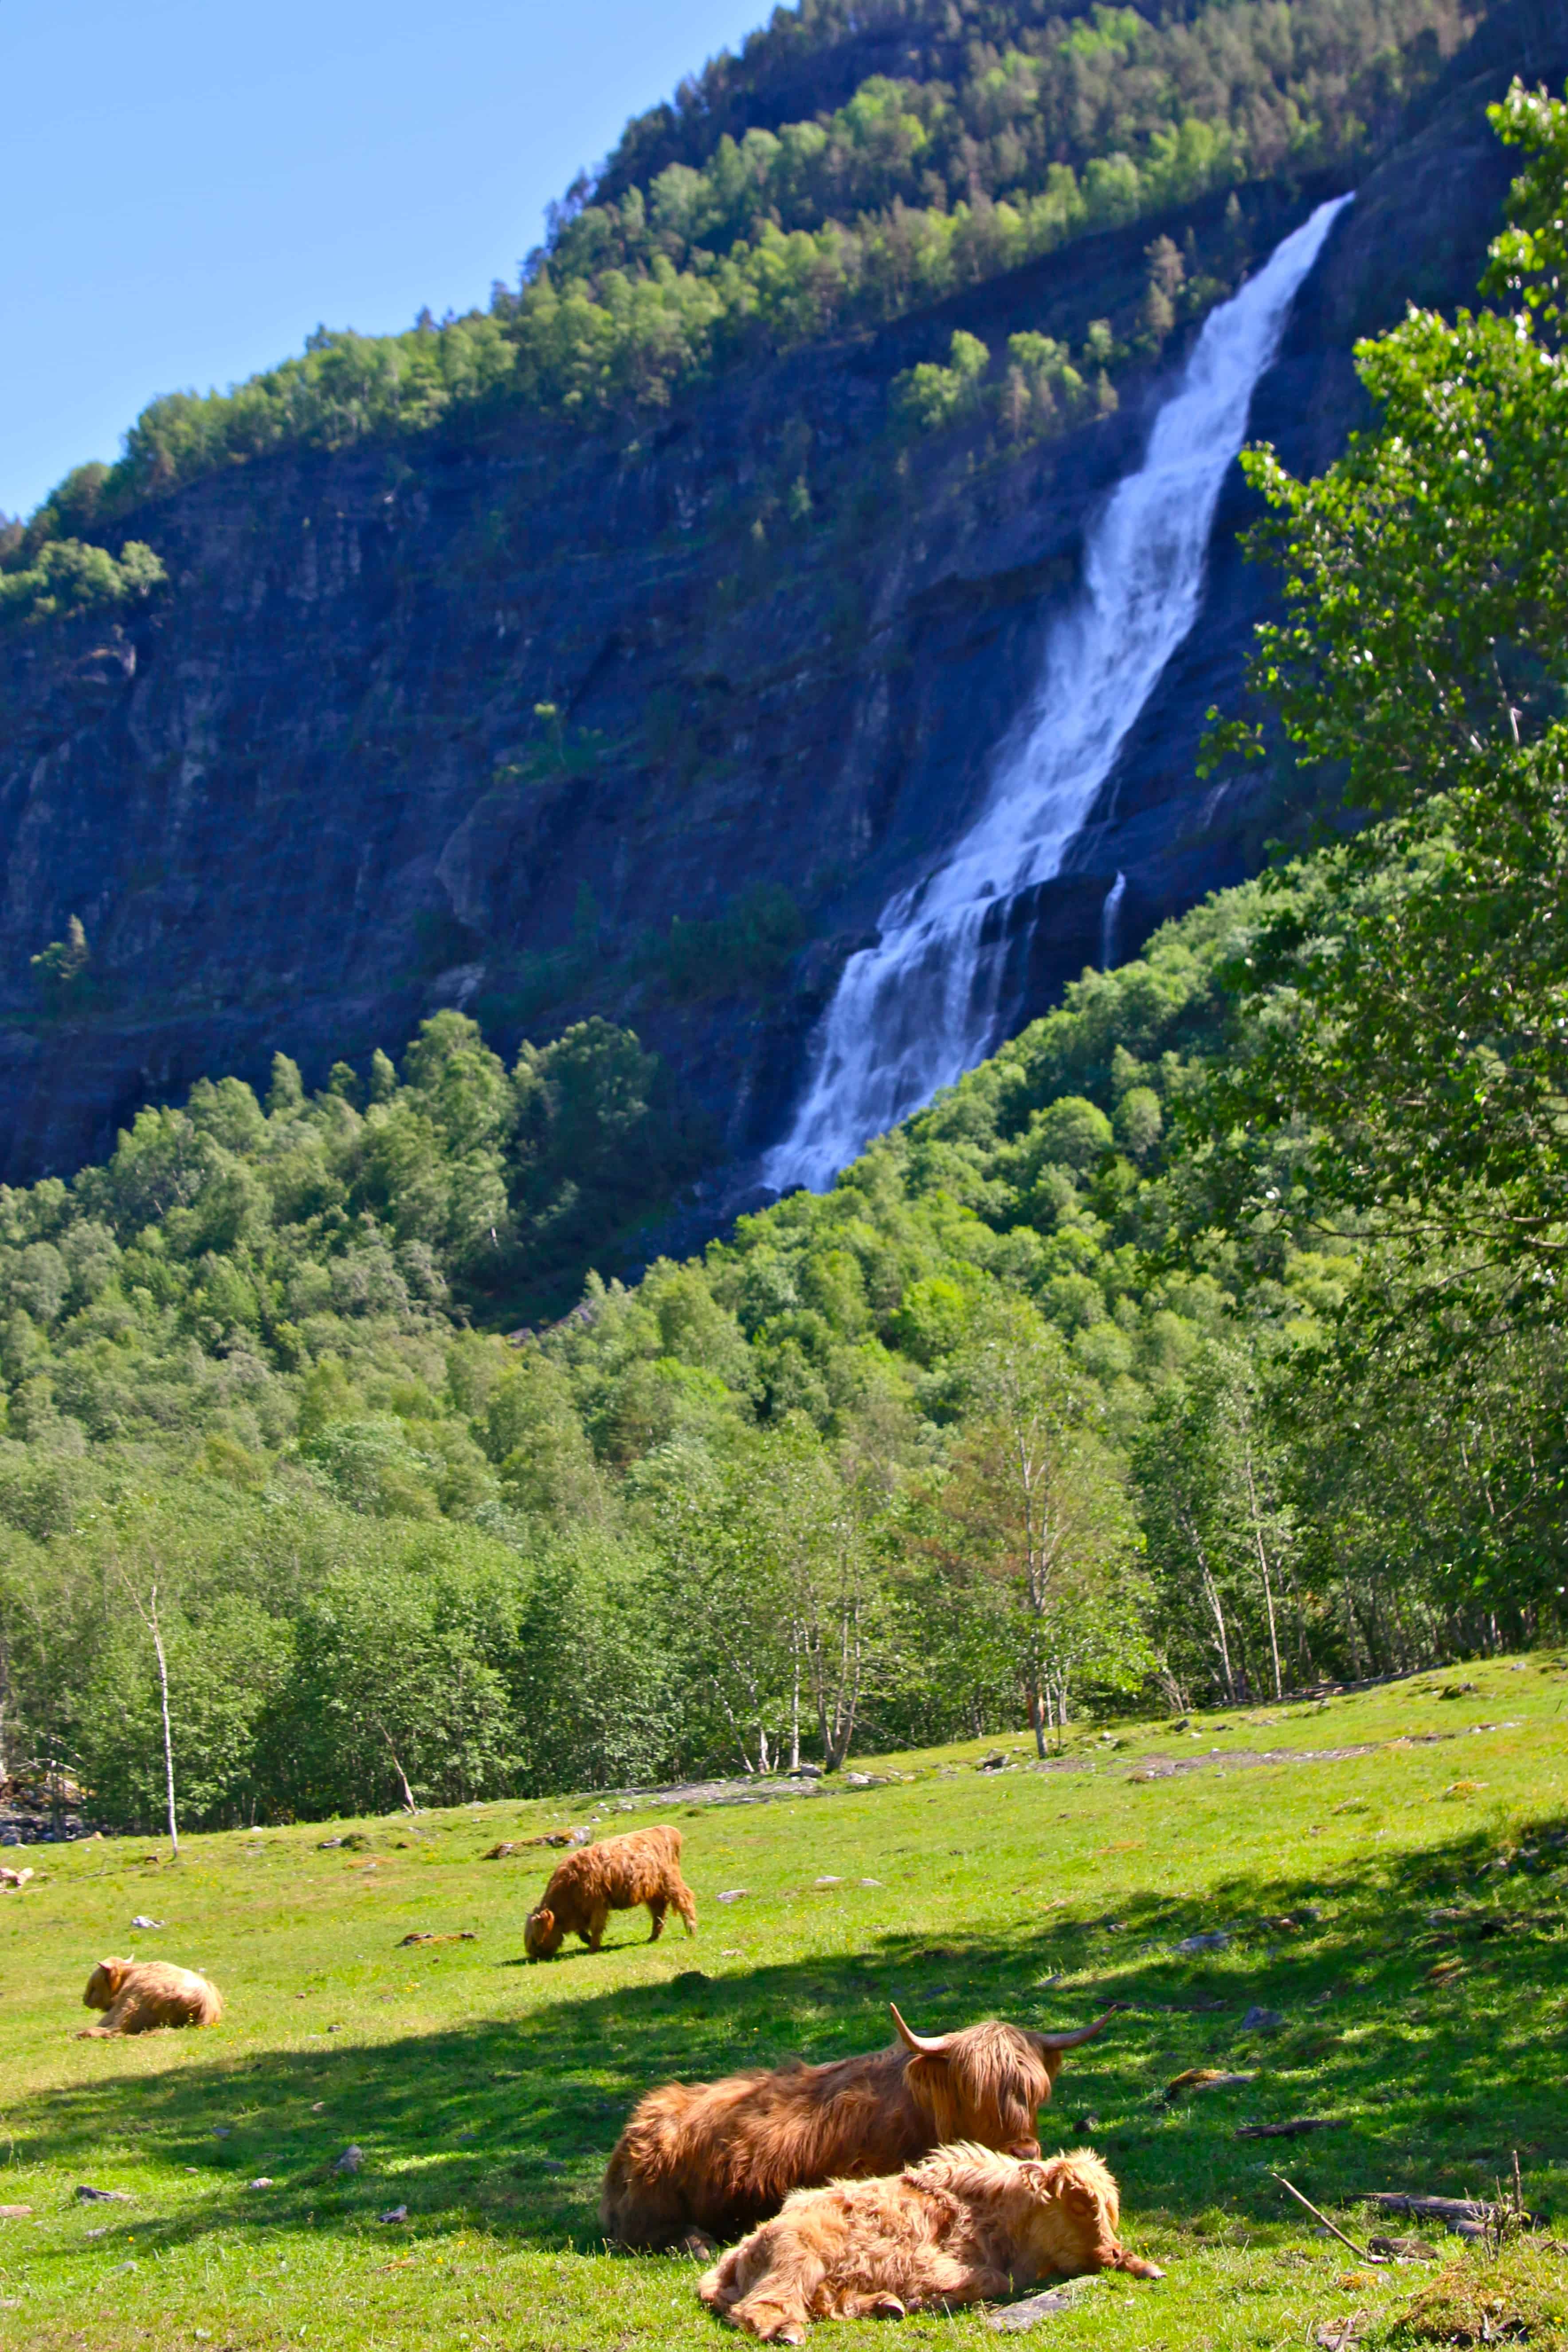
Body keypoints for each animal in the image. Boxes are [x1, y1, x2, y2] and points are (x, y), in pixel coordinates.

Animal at [524, 1815, 696, 1966]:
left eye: (535, 1940)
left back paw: (691, 1931)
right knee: (658, 1913)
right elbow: (582, 1932)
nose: (534, 1957)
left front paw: (594, 1948)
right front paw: (589, 1941)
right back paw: (653, 1937)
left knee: (684, 1901)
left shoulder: (598, 1905)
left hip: (671, 1881)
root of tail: (666, 1829)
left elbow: (596, 1928)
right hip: (654, 1891)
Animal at [700, 2145, 1166, 2342]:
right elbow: (991, 2280)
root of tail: (740, 2250)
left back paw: (887, 2305)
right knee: (764, 2305)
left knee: (826, 2303)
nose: (1108, 2250)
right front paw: (934, 2298)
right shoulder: (936, 2262)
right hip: (797, 2259)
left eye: (1109, 2209)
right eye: (1079, 2204)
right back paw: (787, 2332)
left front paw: (1148, 2267)